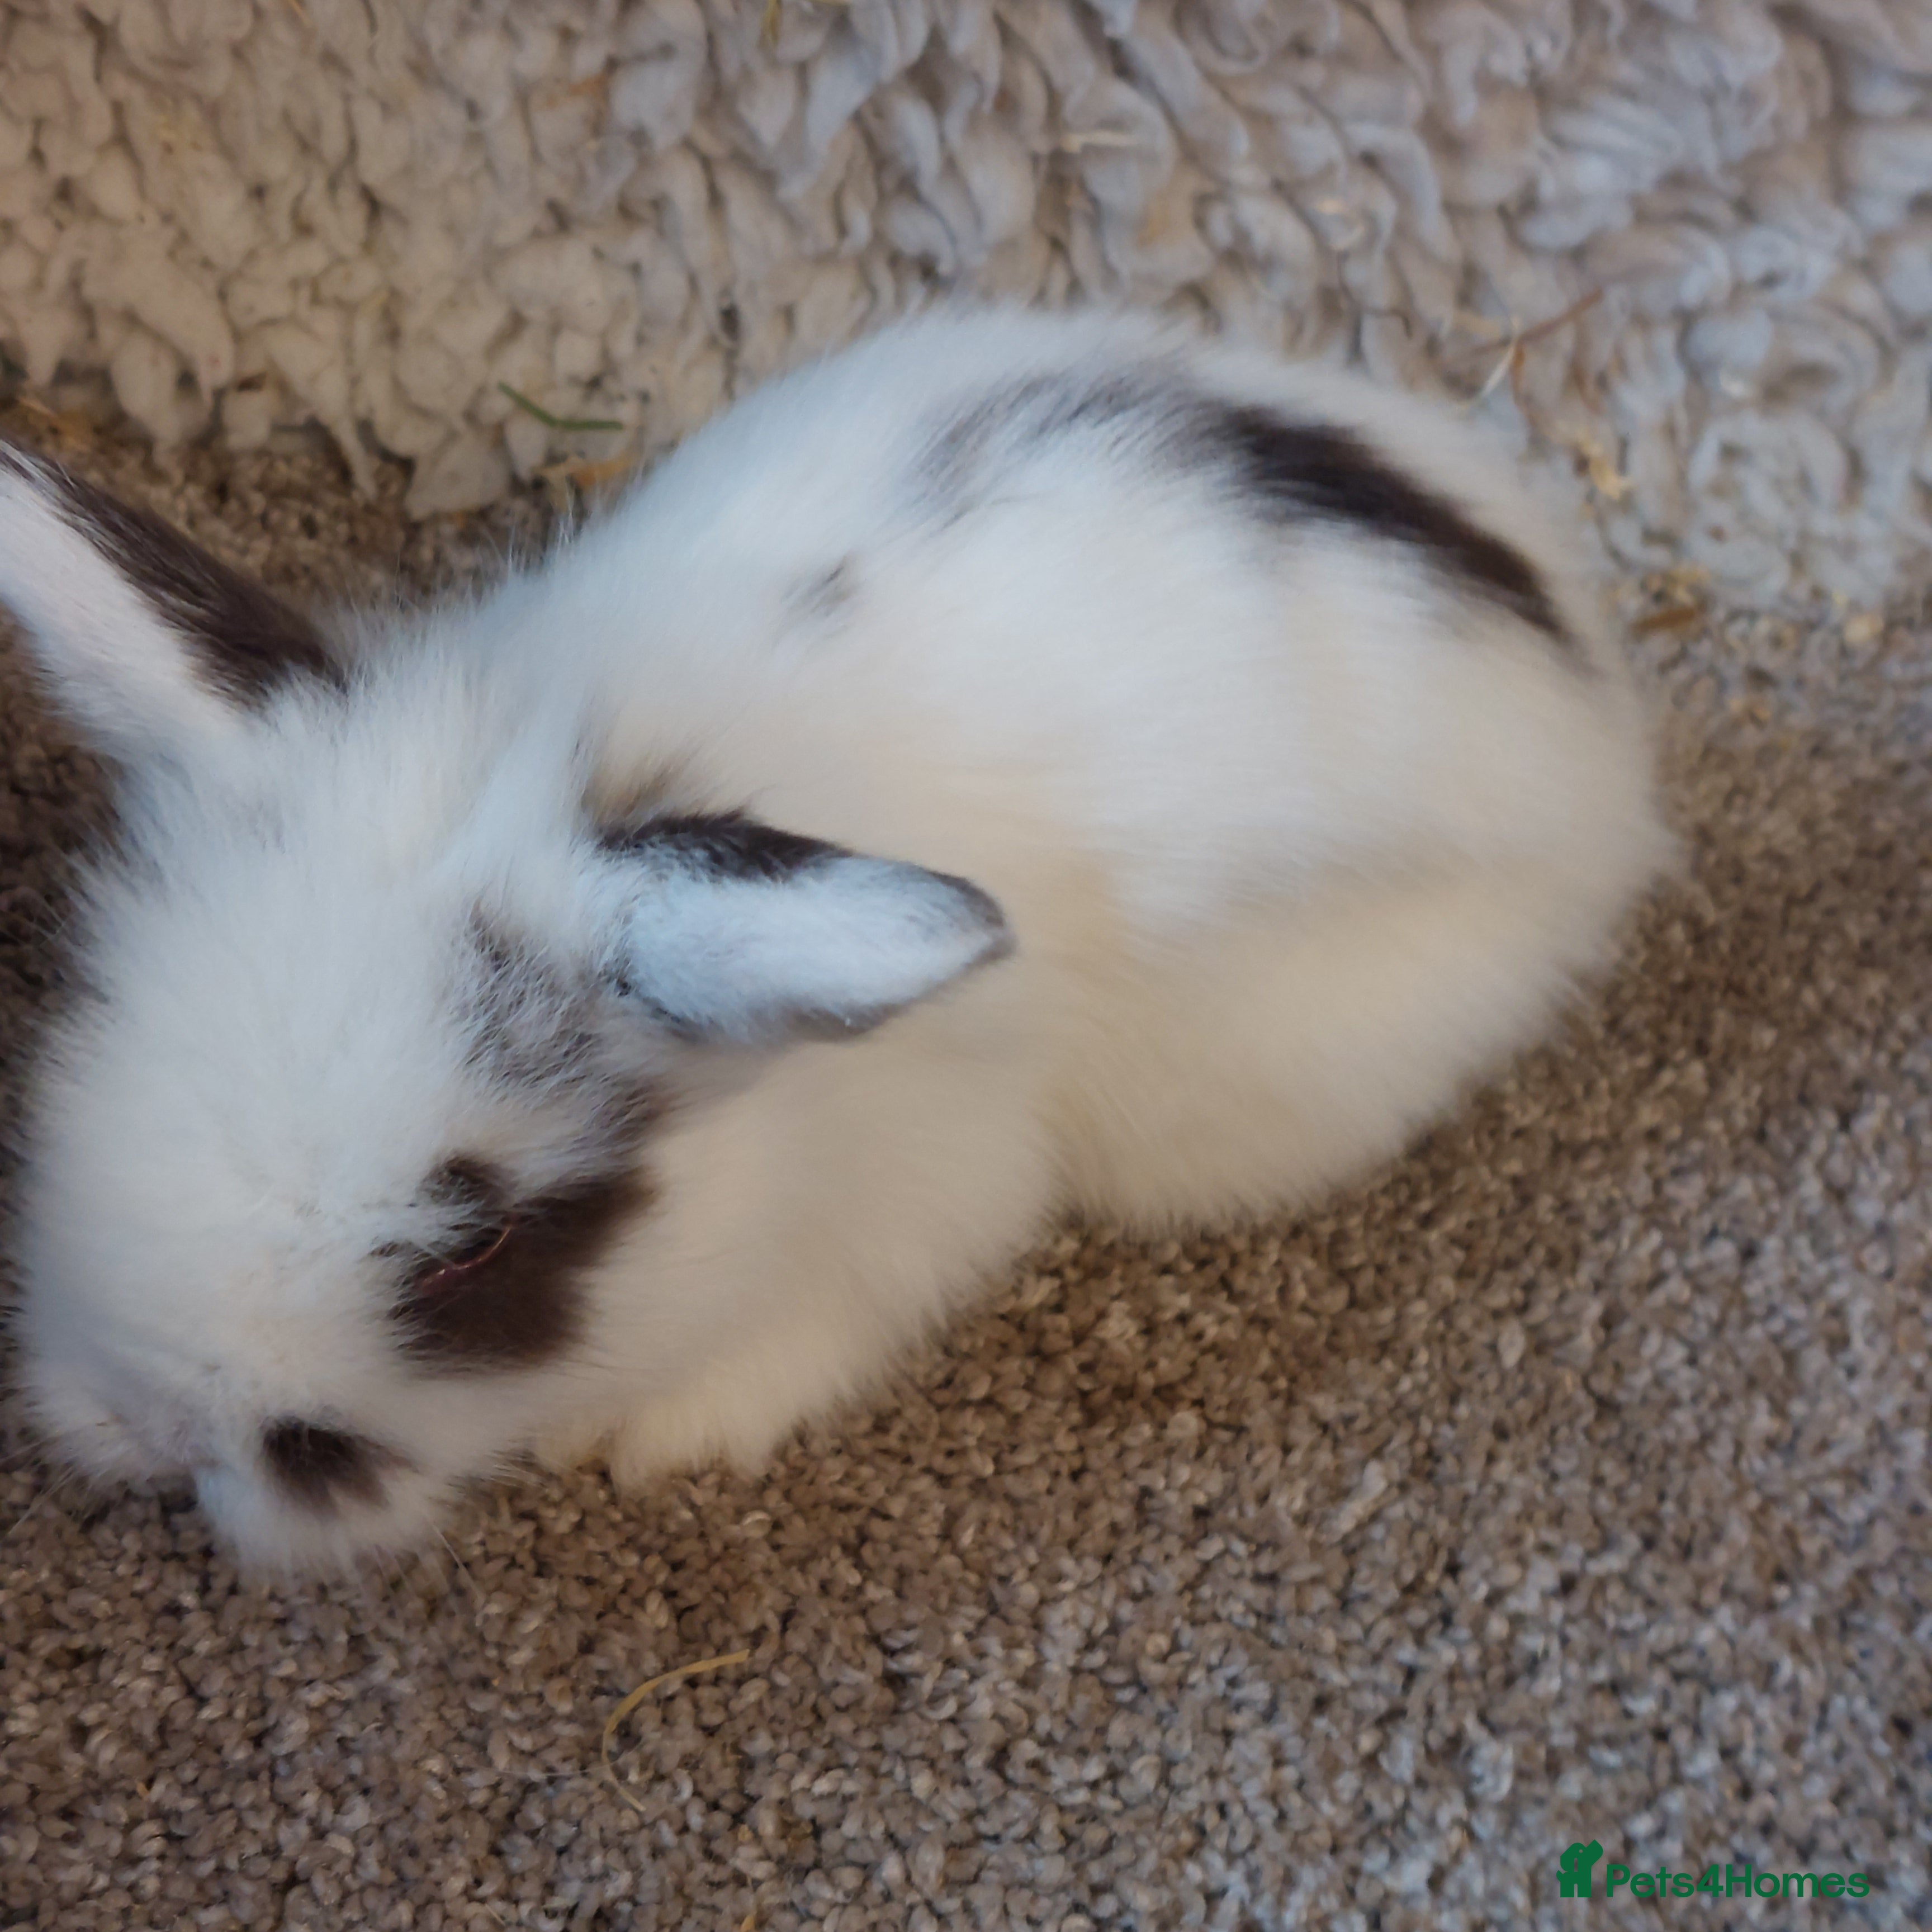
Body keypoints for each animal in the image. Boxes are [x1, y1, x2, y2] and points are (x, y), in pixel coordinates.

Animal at [0, 307, 1668, 1574]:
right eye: (99, 1023)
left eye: (472, 1246)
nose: (170, 1430)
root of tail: (1593, 701)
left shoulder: (934, 1190)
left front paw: (651, 1435)